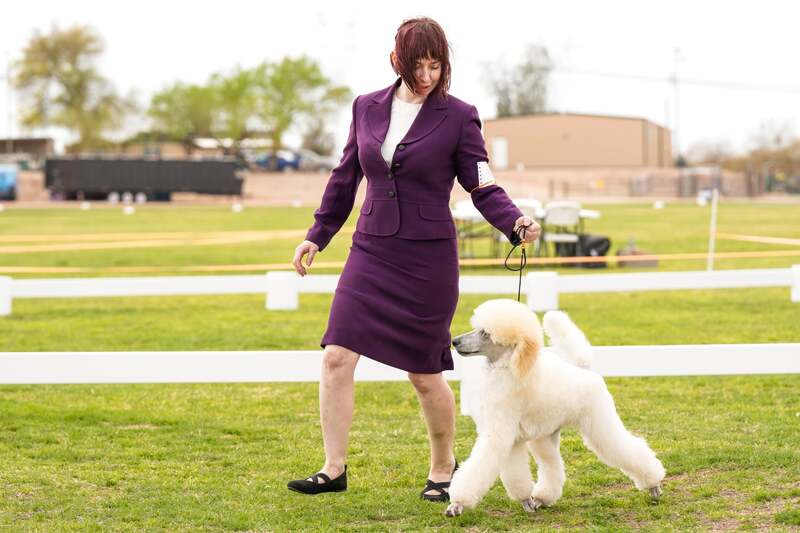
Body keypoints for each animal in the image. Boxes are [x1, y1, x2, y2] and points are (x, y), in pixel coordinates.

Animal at [445, 299, 665, 517]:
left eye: (485, 333)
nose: (455, 341)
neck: (508, 368)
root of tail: (586, 371)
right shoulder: (511, 440)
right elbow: (515, 475)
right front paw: (526, 501)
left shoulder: (497, 435)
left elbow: (479, 467)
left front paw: (457, 504)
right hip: (545, 436)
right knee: (552, 466)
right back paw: (541, 499)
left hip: (599, 423)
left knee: (626, 448)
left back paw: (654, 485)